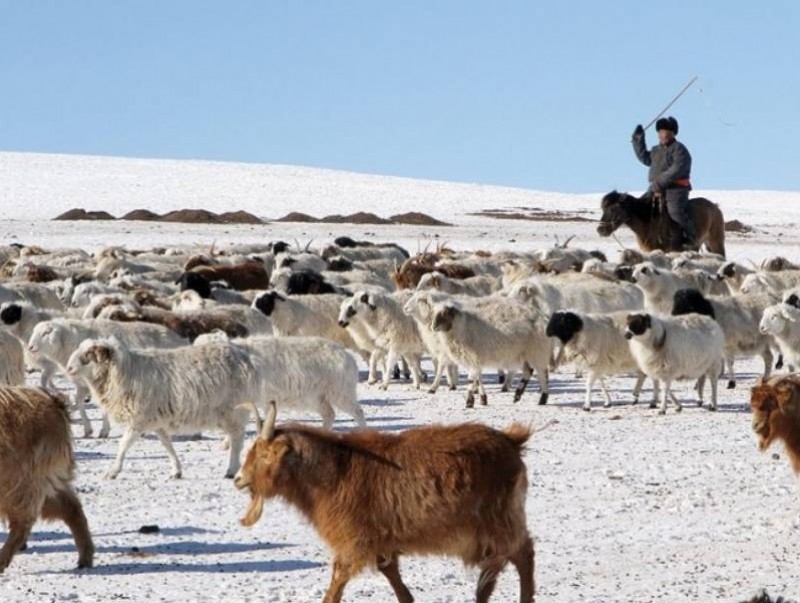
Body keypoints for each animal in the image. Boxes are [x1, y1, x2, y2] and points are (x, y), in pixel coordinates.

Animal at [0, 390, 94, 572]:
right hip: (42, 481)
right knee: (71, 508)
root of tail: (54, 403)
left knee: (23, 522)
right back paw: (85, 557)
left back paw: (2, 559)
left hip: (22, 481)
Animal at [234, 404, 536, 600]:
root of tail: (511, 441)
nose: (238, 478)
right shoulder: (382, 540)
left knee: (523, 555)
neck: (335, 471)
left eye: (264, 455)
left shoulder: (353, 541)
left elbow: (338, 579)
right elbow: (391, 574)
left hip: (500, 521)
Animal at [596, 191, 728, 258]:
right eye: (603, 209)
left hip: (715, 242)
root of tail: (714, 207)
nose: (600, 230)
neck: (648, 222)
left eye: (613, 209)